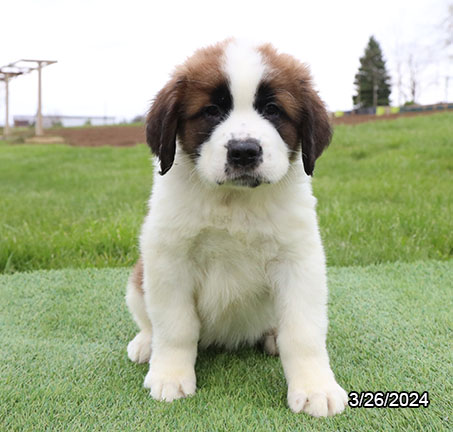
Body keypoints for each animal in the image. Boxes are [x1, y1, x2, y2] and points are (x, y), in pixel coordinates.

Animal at [124, 38, 346, 416]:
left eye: (273, 109)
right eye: (212, 111)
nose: (244, 151)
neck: (235, 202)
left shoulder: (298, 260)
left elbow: (302, 332)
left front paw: (315, 387)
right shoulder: (169, 259)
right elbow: (176, 326)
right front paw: (170, 376)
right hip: (138, 278)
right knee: (149, 319)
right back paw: (145, 343)